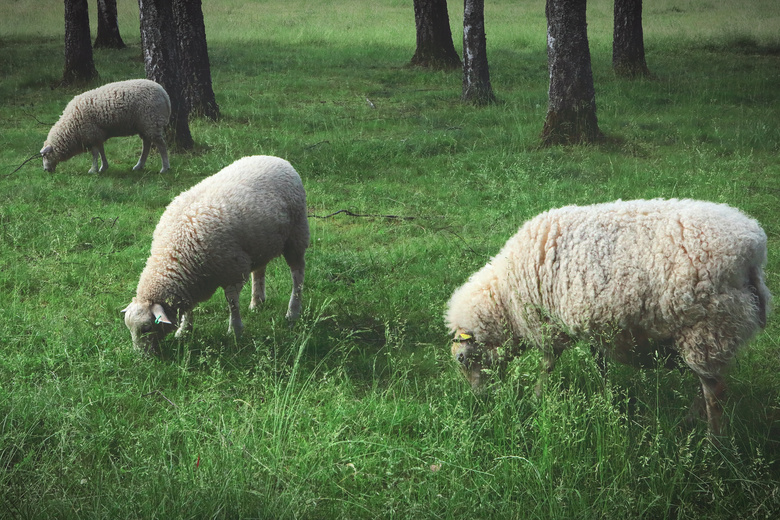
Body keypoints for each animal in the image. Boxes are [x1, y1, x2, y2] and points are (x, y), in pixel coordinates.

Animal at [40, 78, 171, 174]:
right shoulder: (97, 135)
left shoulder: (91, 134)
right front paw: (104, 167)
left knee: (161, 145)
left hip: (152, 122)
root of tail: (164, 93)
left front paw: (93, 170)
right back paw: (139, 166)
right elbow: (101, 151)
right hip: (145, 125)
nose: (45, 170)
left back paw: (165, 168)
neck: (71, 127)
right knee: (147, 144)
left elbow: (94, 154)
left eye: (45, 155)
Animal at [120, 153, 310, 350]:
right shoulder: (192, 282)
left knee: (298, 274)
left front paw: (235, 330)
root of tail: (277, 159)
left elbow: (232, 303)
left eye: (147, 328)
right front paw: (184, 330)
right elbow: (189, 308)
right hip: (260, 243)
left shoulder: (233, 270)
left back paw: (293, 312)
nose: (141, 355)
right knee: (259, 270)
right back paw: (257, 302)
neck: (175, 251)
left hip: (297, 233)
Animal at [448, 198, 772, 434]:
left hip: (709, 326)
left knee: (714, 390)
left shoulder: (550, 325)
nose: (477, 399)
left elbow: (547, 364)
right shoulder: (595, 324)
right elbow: (599, 363)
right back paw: (691, 422)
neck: (506, 294)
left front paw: (537, 397)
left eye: (462, 359)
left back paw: (713, 442)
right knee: (706, 380)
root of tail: (752, 247)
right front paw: (606, 399)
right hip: (706, 333)